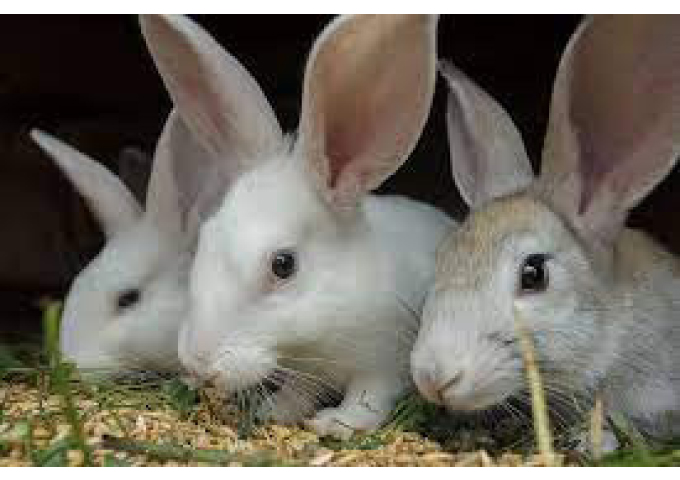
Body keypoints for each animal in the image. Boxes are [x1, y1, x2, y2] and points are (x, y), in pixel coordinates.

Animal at [139, 14, 454, 439]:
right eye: (204, 241)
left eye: (283, 265)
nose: (200, 363)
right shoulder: (307, 368)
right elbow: (299, 390)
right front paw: (275, 411)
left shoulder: (385, 361)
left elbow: (369, 397)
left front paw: (337, 423)